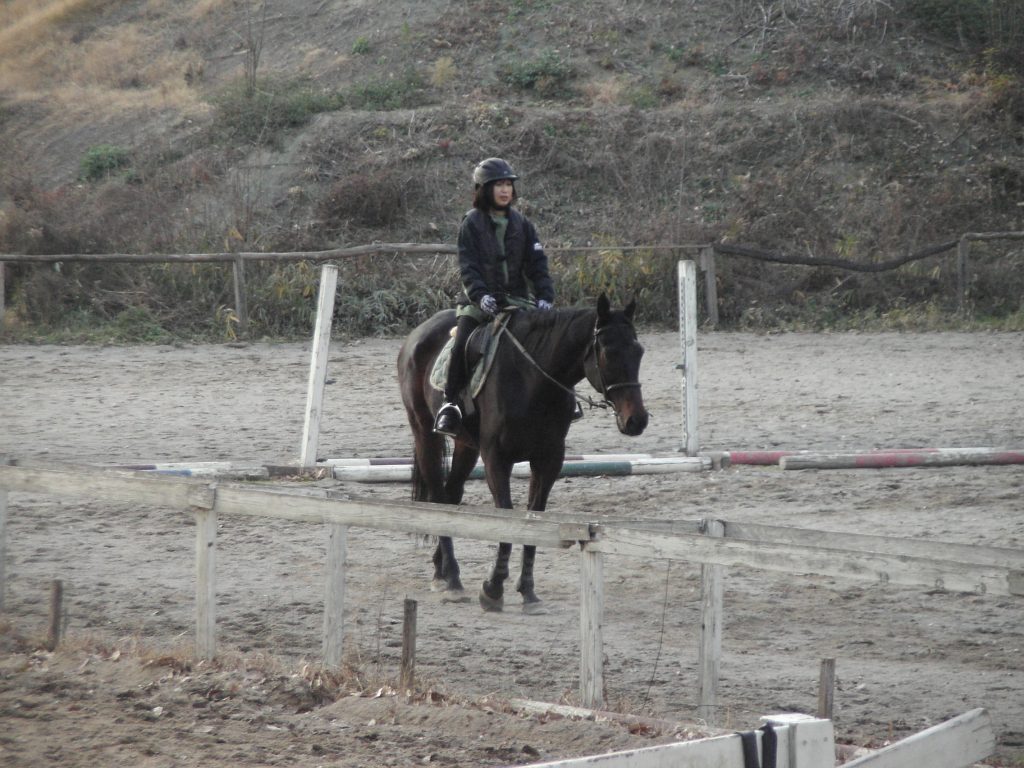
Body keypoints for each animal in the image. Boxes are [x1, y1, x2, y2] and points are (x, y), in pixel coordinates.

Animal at [396, 293, 649, 613]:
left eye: (638, 351)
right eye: (607, 352)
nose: (637, 421)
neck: (533, 382)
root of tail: (417, 333)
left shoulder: (549, 461)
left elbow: (533, 522)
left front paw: (527, 591)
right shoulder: (496, 459)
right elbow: (507, 520)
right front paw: (493, 590)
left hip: (466, 446)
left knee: (452, 496)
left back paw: (441, 573)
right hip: (424, 433)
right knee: (439, 500)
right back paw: (452, 579)